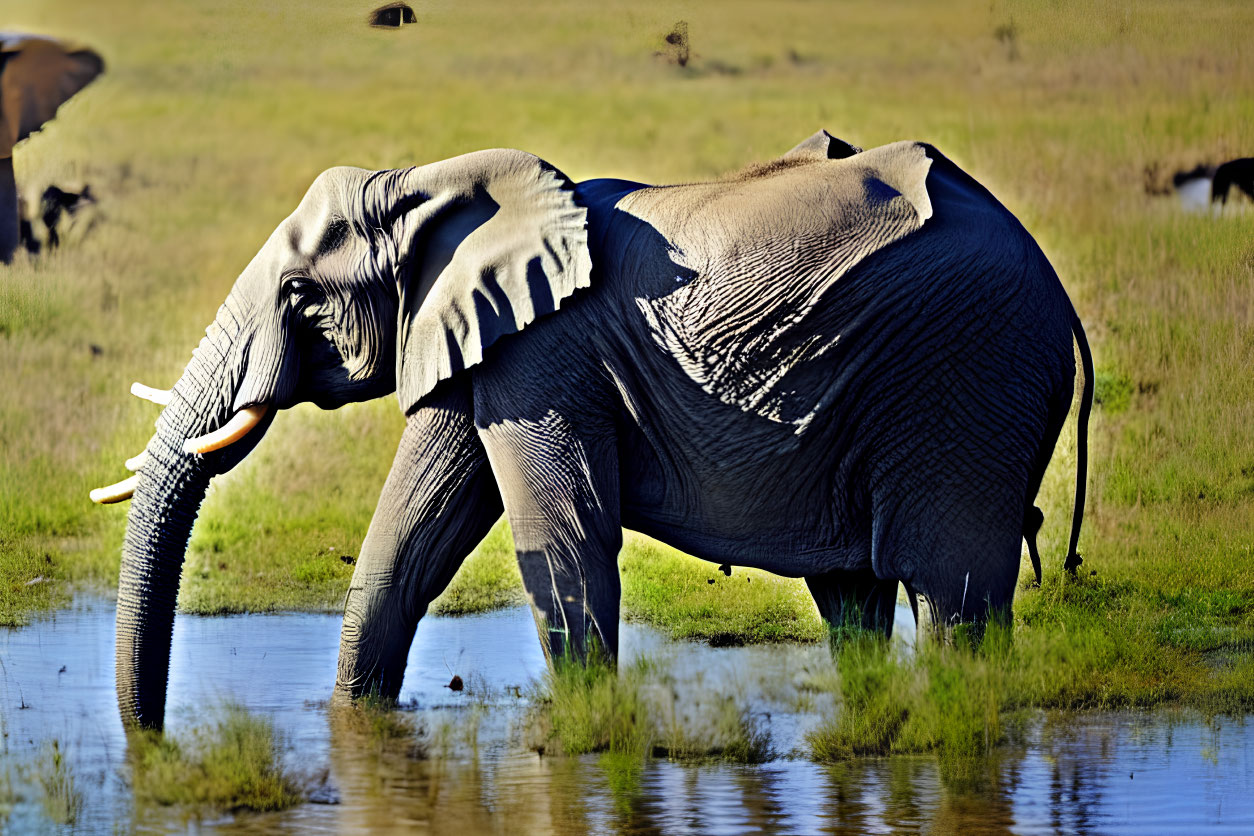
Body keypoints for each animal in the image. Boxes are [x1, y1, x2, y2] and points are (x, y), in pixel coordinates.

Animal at [90, 132, 1088, 731]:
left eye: (301, 295)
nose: (152, 743)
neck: (430, 180)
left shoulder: (545, 356)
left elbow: (561, 535)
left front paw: (585, 737)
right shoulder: (483, 340)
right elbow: (411, 540)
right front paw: (355, 730)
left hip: (968, 381)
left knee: (952, 594)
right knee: (853, 597)